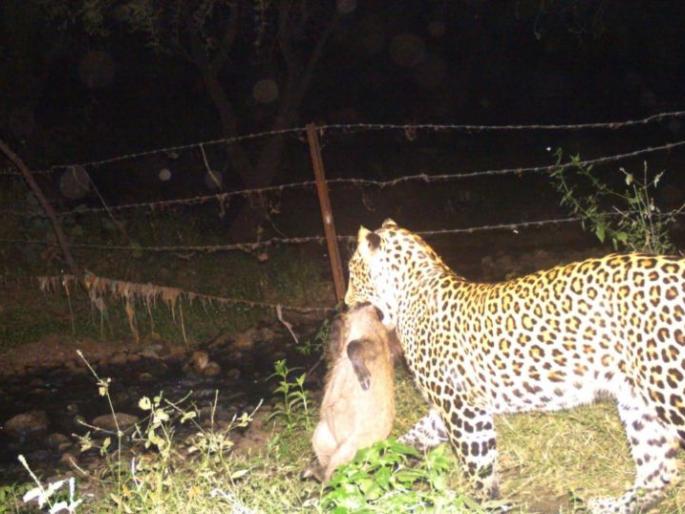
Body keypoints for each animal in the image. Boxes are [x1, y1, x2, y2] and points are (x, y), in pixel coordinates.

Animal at [344, 218, 685, 514]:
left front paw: (488, 505)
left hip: (669, 388)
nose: (345, 302)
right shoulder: (453, 405)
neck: (408, 295)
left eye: (352, 272)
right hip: (636, 400)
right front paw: (376, 460)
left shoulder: (463, 410)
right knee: (657, 470)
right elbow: (415, 436)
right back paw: (612, 506)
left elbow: (478, 467)